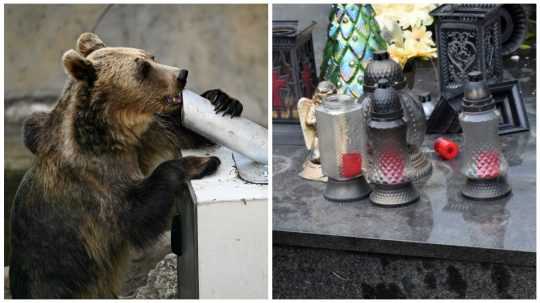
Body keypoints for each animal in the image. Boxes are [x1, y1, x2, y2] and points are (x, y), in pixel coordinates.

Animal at [8, 33, 243, 300]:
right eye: (143, 68)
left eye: (152, 56)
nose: (181, 75)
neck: (114, 132)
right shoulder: (94, 180)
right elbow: (135, 213)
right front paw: (200, 162)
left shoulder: (148, 136)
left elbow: (185, 131)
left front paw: (222, 100)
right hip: (58, 281)